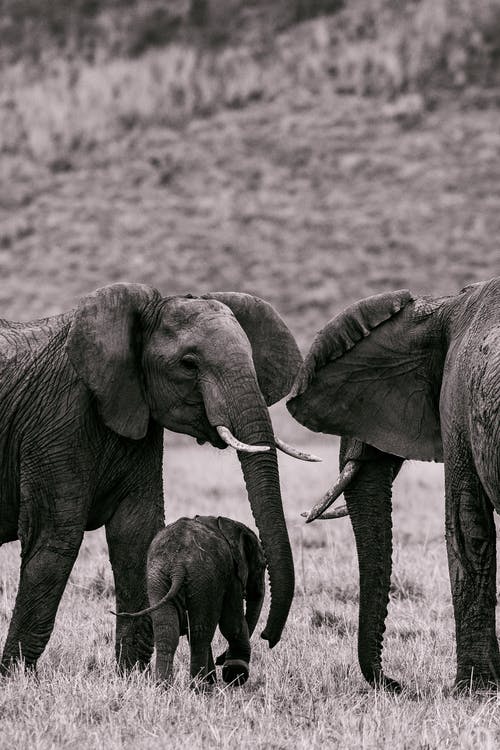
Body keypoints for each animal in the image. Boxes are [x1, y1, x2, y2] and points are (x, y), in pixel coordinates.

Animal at [115, 516, 268, 688]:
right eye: (262, 566)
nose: (221, 660)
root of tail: (177, 566)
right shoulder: (232, 575)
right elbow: (232, 624)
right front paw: (235, 675)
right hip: (203, 578)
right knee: (199, 634)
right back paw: (199, 687)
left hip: (158, 578)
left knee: (167, 630)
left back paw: (163, 685)